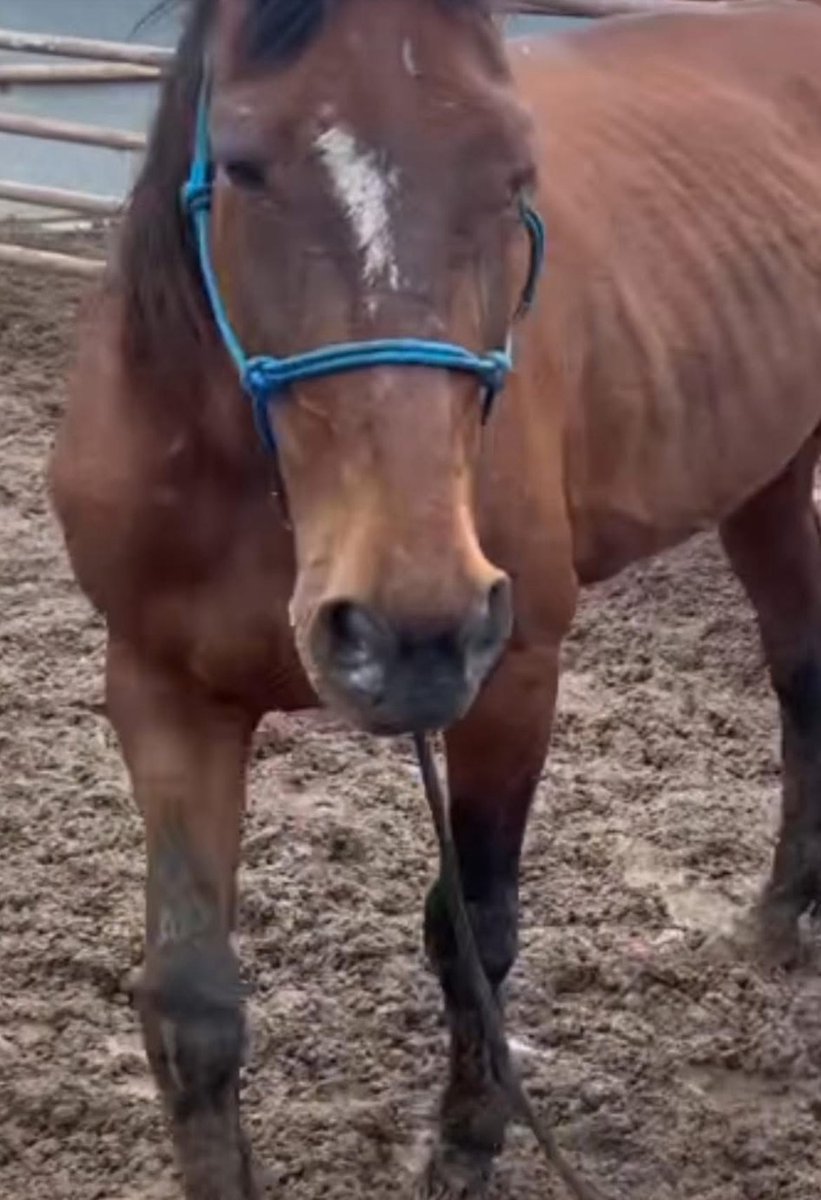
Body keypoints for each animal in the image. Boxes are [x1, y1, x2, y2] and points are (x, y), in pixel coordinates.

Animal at [49, 0, 821, 1195]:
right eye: (243, 164)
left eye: (512, 174)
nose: (406, 627)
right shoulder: (160, 688)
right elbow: (191, 1003)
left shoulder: (509, 678)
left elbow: (475, 931)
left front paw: (465, 1141)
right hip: (768, 483)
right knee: (800, 675)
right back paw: (776, 917)